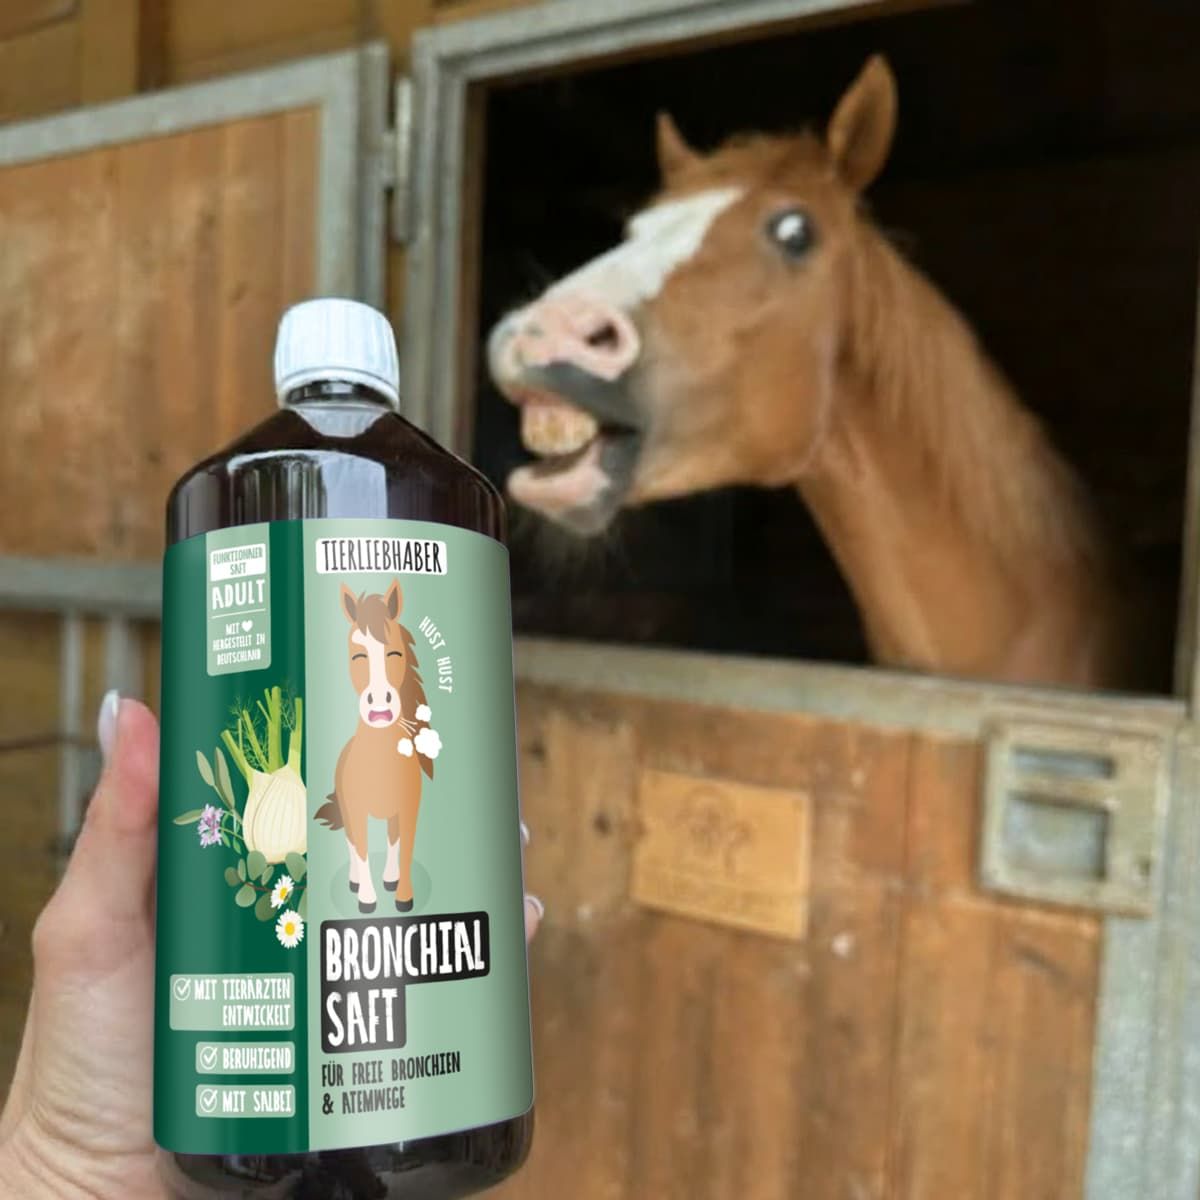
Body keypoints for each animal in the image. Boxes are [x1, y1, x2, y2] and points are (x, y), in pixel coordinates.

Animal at [315, 580, 436, 913]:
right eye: (357, 655)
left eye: (395, 651)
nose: (380, 703)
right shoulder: (354, 808)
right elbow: (362, 849)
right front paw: (366, 899)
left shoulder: (409, 807)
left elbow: (405, 846)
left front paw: (403, 897)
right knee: (352, 843)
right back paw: (356, 882)